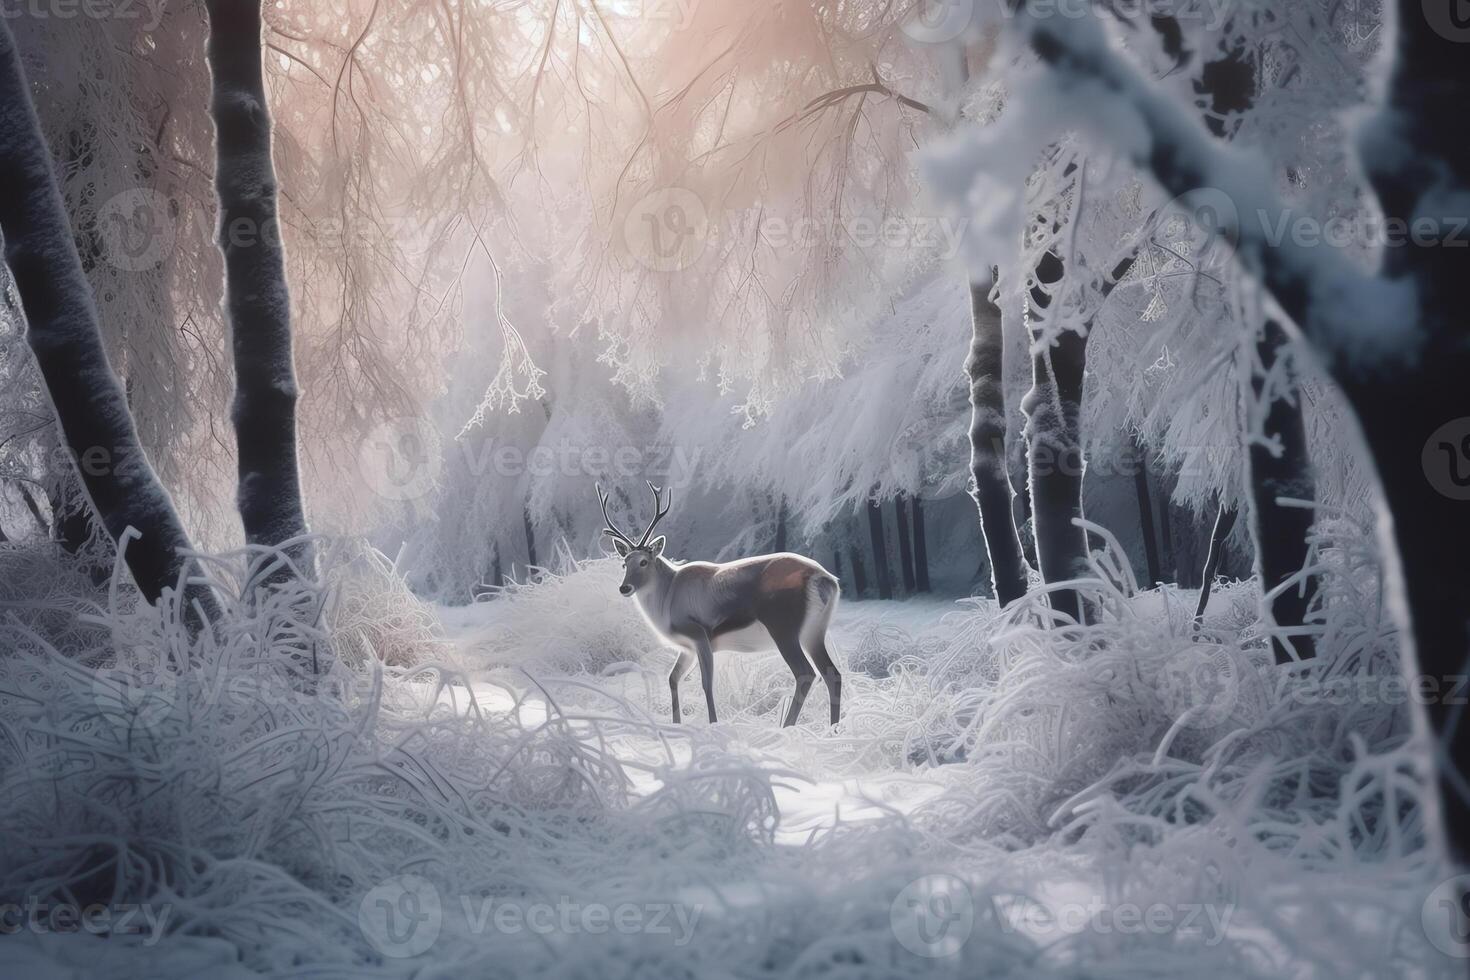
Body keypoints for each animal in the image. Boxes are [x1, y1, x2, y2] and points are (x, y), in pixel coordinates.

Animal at [593, 481, 846, 728]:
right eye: (624, 563)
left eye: (644, 561)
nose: (624, 588)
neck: (667, 601)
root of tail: (826, 580)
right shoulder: (687, 648)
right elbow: (672, 678)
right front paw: (676, 724)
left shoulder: (699, 634)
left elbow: (706, 683)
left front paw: (713, 724)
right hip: (814, 631)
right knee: (832, 673)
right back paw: (833, 729)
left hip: (784, 627)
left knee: (805, 673)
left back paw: (787, 726)